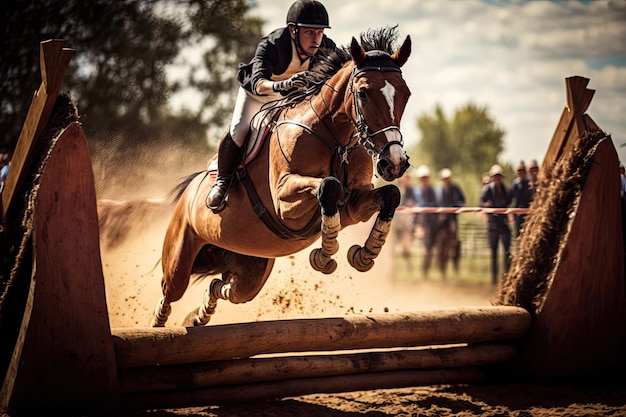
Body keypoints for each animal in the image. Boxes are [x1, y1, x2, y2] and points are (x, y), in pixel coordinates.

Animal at [151, 27, 412, 326]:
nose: (394, 163)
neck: (335, 137)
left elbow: (390, 195)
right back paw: (158, 326)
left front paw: (366, 253)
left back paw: (199, 316)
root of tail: (188, 194)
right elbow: (329, 186)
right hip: (180, 256)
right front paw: (324, 255)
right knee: (170, 291)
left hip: (251, 267)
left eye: (406, 94)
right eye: (363, 94)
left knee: (224, 287)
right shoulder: (285, 204)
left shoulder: (354, 203)